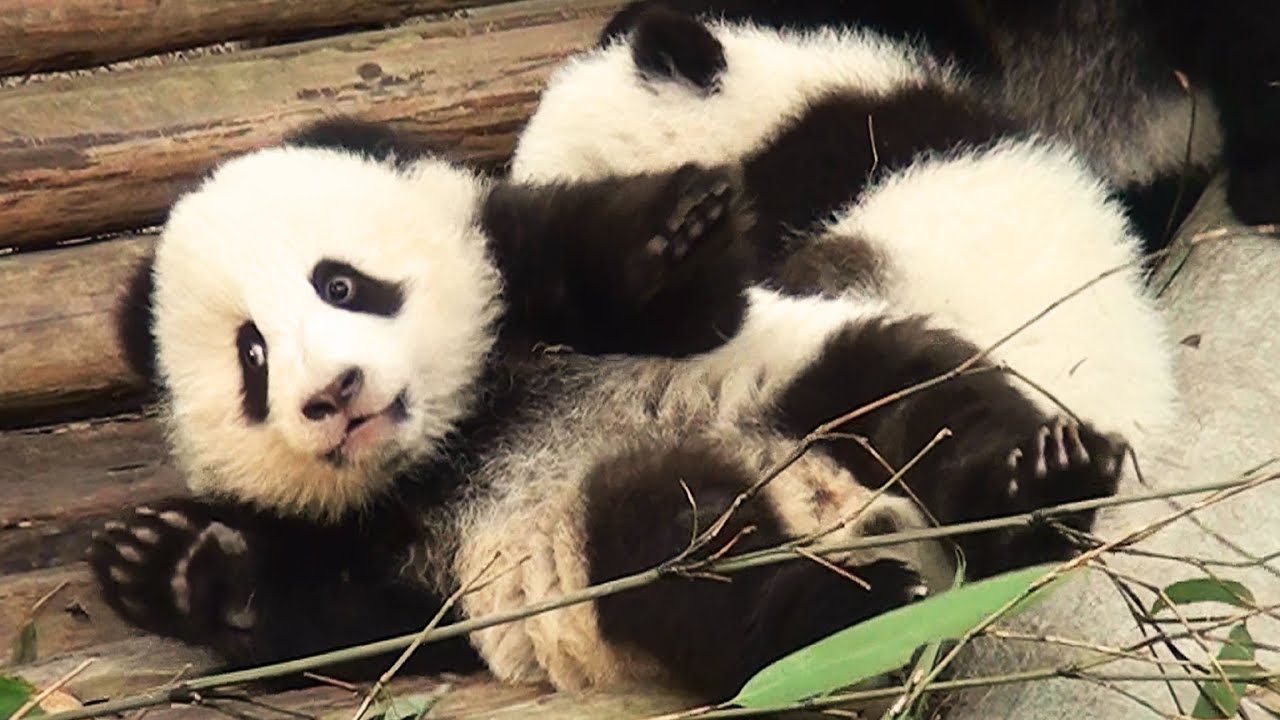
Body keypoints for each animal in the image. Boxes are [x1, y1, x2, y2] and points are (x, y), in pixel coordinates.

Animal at [87, 107, 1170, 707]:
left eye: (342, 284)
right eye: (253, 356)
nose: (334, 394)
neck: (460, 431)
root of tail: (842, 508)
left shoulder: (528, 275)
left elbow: (662, 294)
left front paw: (674, 231)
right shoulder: (399, 550)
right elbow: (355, 623)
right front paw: (167, 566)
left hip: (808, 374)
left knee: (916, 392)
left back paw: (1037, 485)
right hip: (601, 550)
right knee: (676, 550)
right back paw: (841, 607)